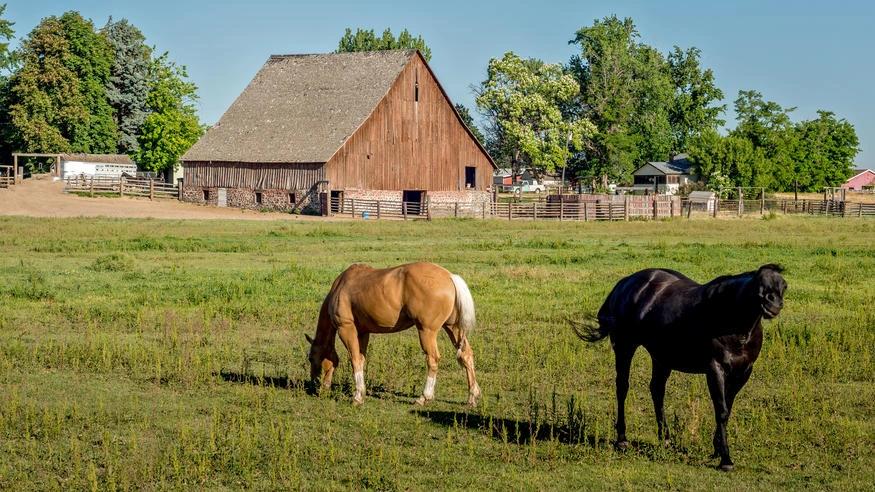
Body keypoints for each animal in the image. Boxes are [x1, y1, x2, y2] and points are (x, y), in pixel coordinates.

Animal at [305, 262, 481, 407]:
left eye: (311, 358)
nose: (315, 386)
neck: (341, 286)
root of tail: (450, 276)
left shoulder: (346, 329)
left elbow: (354, 360)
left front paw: (358, 396)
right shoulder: (362, 333)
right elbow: (361, 360)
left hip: (427, 332)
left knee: (432, 359)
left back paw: (424, 397)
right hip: (453, 328)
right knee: (466, 355)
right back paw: (472, 396)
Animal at [571, 264, 787, 471]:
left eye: (784, 286)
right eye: (759, 283)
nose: (774, 305)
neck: (732, 320)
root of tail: (624, 284)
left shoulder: (743, 372)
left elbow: (727, 408)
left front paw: (717, 449)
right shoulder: (715, 369)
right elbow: (721, 410)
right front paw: (725, 459)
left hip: (661, 357)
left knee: (657, 390)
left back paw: (665, 438)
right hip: (625, 347)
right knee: (622, 387)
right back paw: (622, 440)